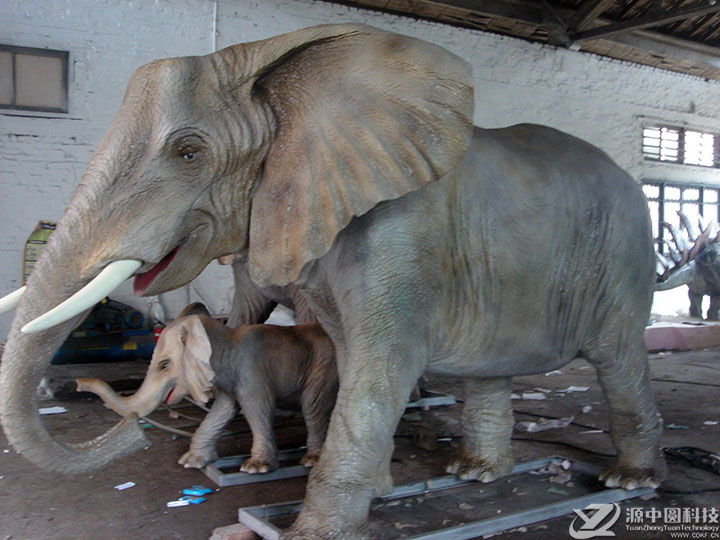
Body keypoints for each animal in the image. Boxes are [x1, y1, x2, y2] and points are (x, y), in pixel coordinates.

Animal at [76, 303, 338, 473]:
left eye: (164, 365)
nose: (78, 385)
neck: (224, 337)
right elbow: (221, 411)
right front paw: (191, 462)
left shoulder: (252, 374)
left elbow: (256, 410)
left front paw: (255, 468)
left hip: (322, 368)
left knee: (312, 405)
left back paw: (312, 461)